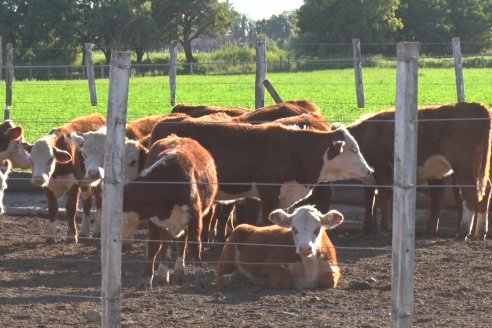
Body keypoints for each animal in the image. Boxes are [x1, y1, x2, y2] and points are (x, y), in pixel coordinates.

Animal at [29, 114, 105, 242]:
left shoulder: (74, 184)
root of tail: (97, 115)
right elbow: (53, 208)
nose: (38, 179)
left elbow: (71, 208)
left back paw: (97, 230)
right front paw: (50, 235)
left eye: (50, 159)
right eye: (31, 159)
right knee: (87, 202)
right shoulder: (48, 186)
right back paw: (84, 231)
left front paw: (71, 235)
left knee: (99, 201)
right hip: (85, 181)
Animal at [121, 134, 217, 288]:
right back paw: (163, 272)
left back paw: (179, 270)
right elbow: (154, 246)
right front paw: (147, 277)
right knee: (166, 243)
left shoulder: (194, 216)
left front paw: (200, 275)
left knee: (182, 242)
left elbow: (195, 244)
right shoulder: (154, 219)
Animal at [150, 119, 372, 227]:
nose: (369, 170)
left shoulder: (284, 197)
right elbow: (267, 221)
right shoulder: (268, 193)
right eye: (353, 149)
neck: (295, 150)